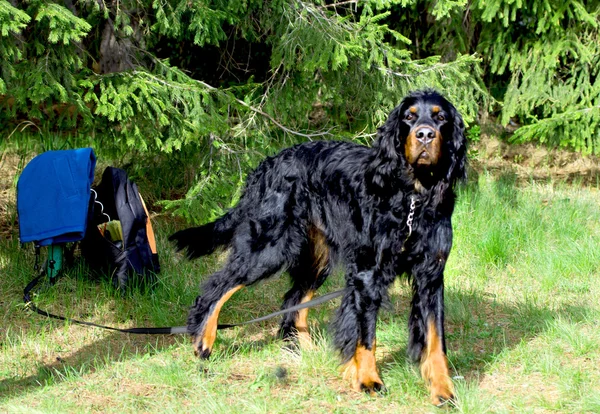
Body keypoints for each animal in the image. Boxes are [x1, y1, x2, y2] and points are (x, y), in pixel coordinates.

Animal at [170, 90, 468, 404]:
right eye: (409, 117)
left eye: (440, 117)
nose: (425, 135)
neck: (412, 199)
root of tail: (266, 166)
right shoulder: (368, 272)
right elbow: (367, 335)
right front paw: (368, 379)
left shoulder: (430, 276)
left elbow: (435, 340)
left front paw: (442, 388)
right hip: (268, 248)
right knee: (216, 287)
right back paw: (202, 340)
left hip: (317, 258)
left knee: (294, 299)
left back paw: (306, 349)